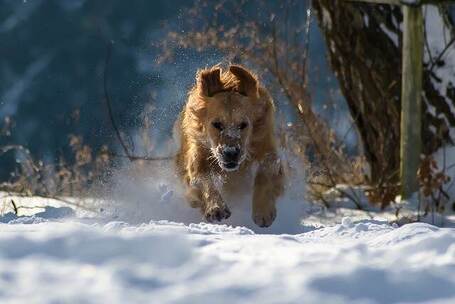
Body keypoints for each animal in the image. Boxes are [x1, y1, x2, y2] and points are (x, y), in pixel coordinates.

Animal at [176, 64, 284, 228]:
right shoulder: (198, 155)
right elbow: (204, 179)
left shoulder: (267, 147)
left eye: (243, 124)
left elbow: (265, 173)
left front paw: (263, 211)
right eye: (217, 124)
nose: (231, 153)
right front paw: (216, 208)